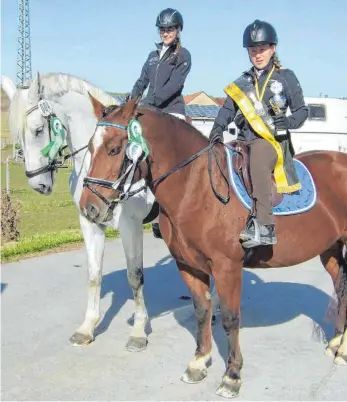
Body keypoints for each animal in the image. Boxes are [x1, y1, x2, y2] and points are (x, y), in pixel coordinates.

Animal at [79, 95, 347, 398]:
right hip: (330, 249)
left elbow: (230, 319)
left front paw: (232, 375)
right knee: (341, 287)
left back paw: (343, 350)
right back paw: (337, 343)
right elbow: (202, 311)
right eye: (90, 147)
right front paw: (198, 361)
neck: (196, 188)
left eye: (114, 149)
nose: (89, 207)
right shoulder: (188, 266)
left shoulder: (227, 267)